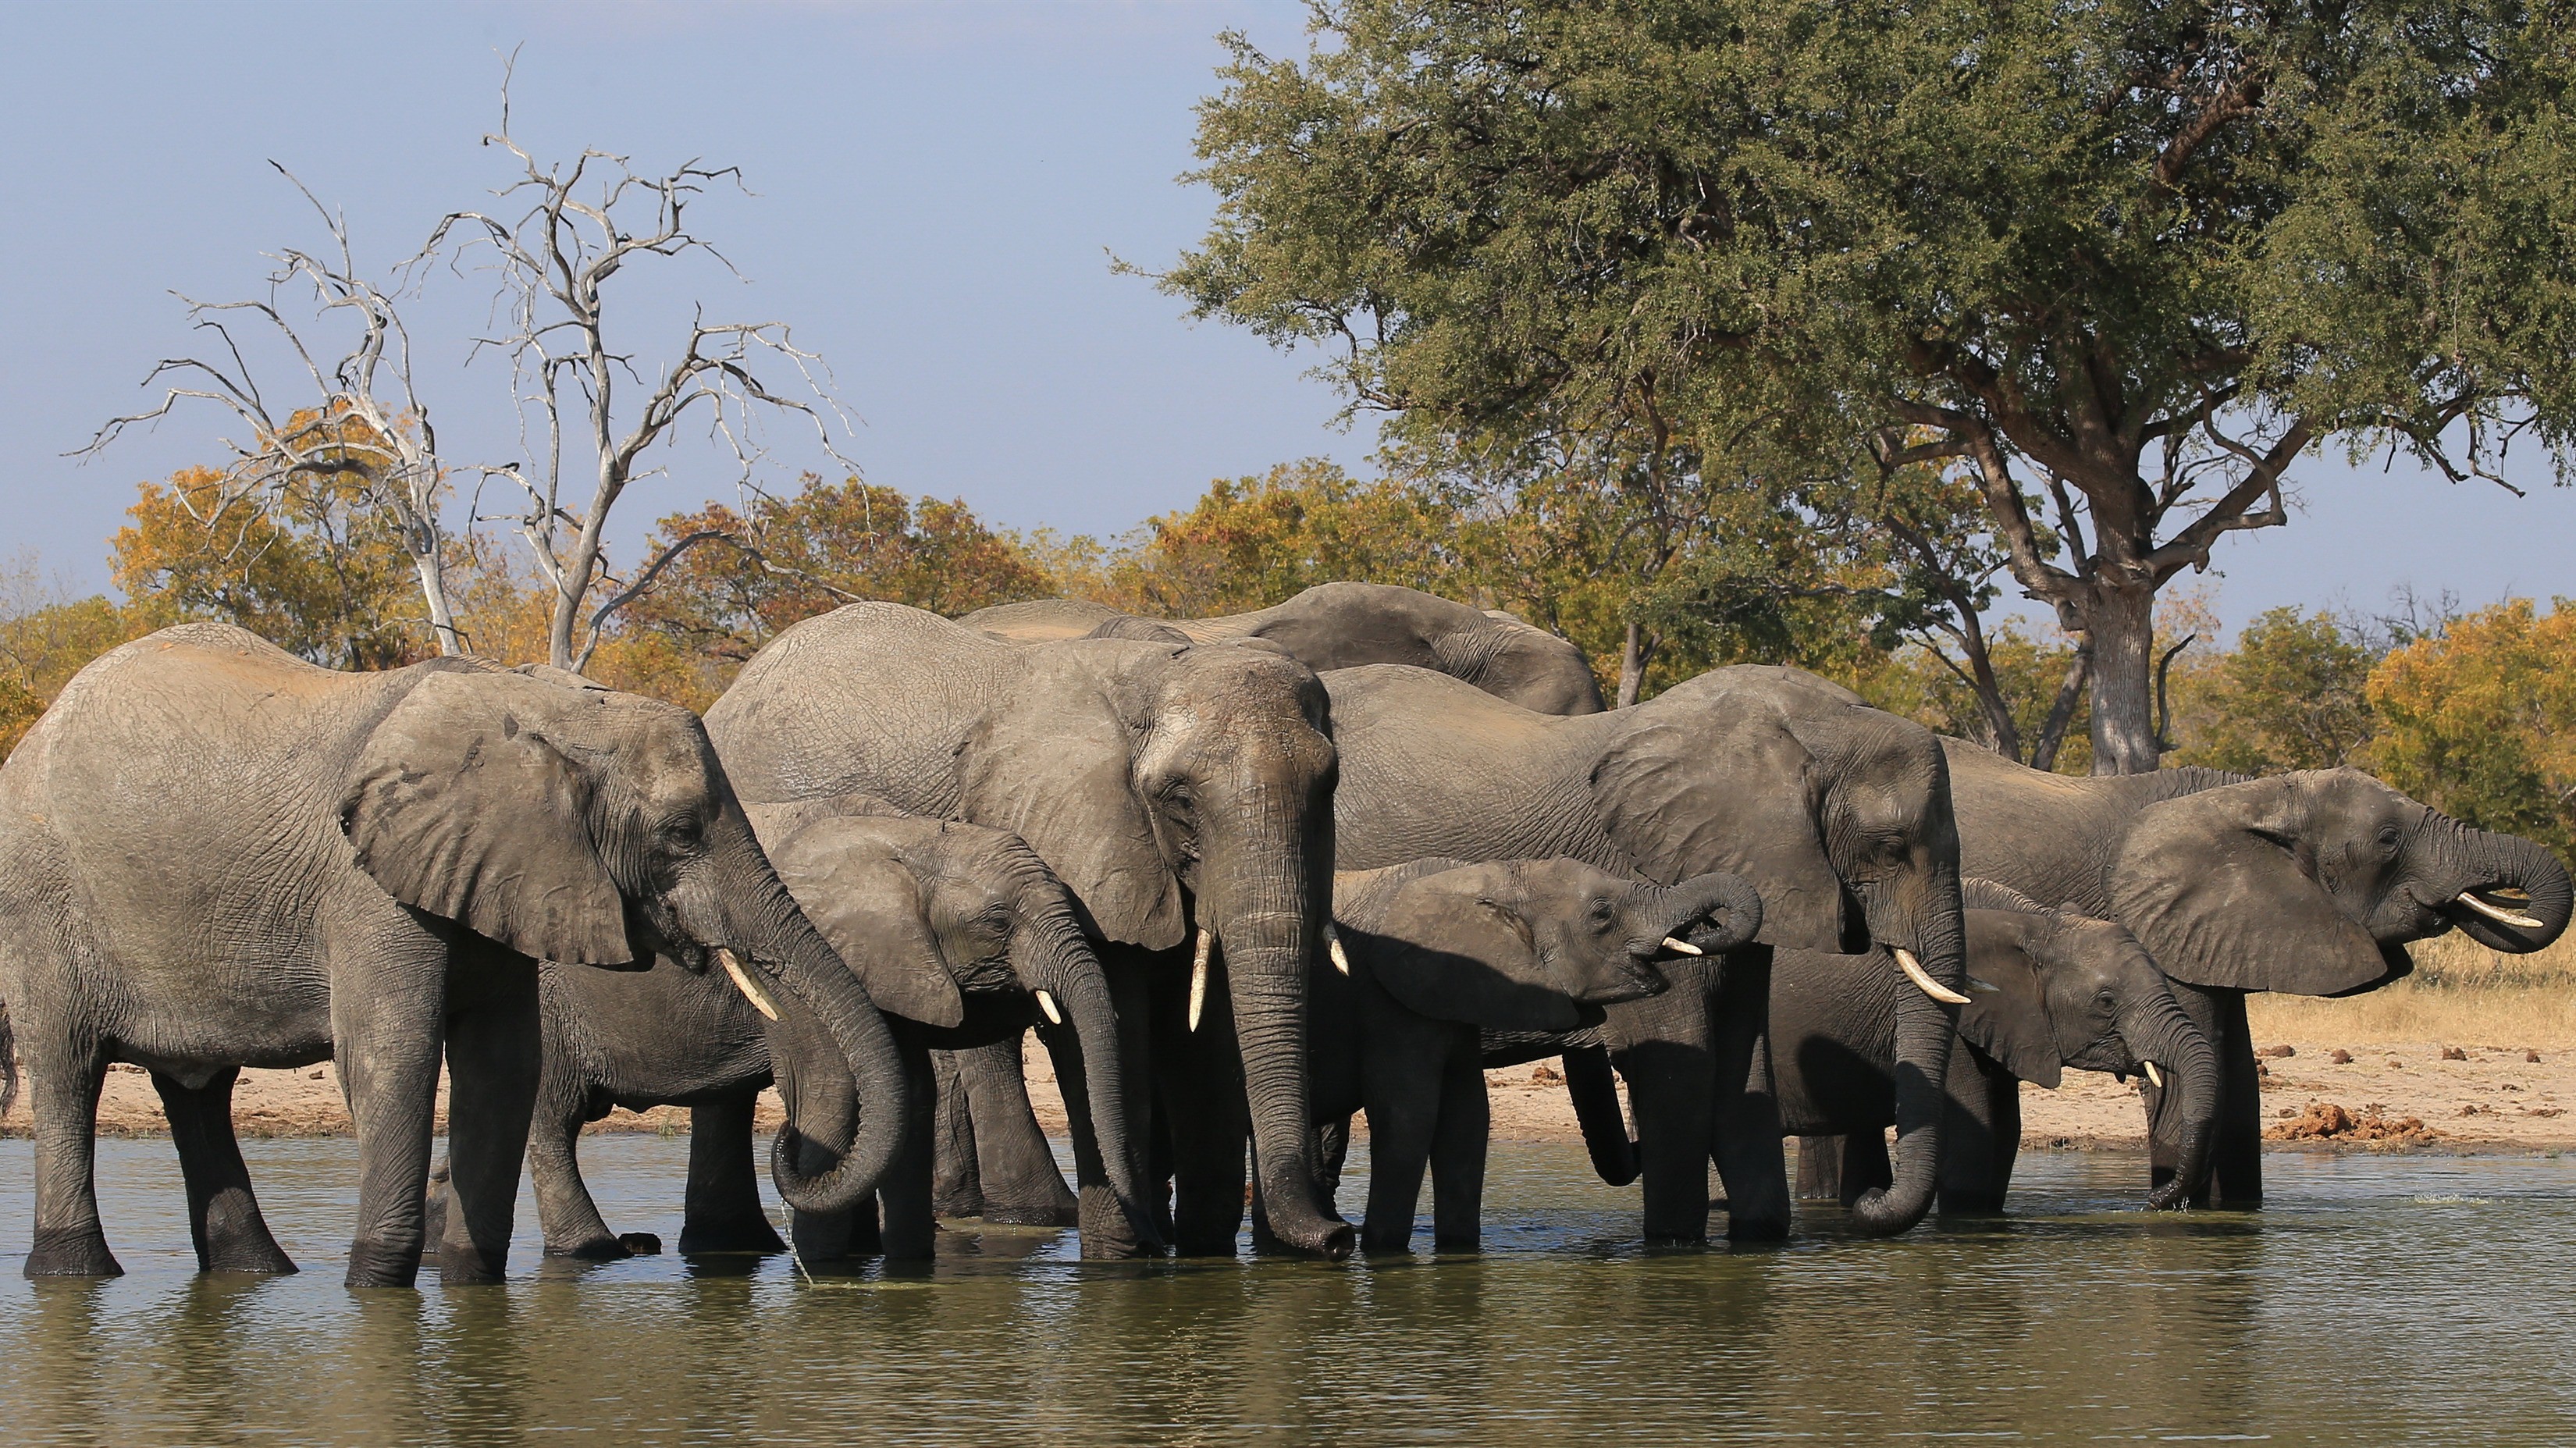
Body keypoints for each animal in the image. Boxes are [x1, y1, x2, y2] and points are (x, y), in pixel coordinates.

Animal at [0, 624, 905, 1286]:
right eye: (681, 833)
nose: (790, 1147)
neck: (538, 706)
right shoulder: (369, 890)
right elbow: (391, 1054)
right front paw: (376, 1287)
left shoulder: (503, 875)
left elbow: (504, 1066)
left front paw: (472, 1286)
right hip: (42, 910)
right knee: (68, 1070)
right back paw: (76, 1272)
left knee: (199, 1093)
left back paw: (260, 1272)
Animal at [493, 796, 1148, 1264]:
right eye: (996, 921)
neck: (906, 835)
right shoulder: (807, 964)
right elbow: (827, 1092)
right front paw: (828, 1272)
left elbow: (909, 1096)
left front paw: (903, 1265)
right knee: (551, 1119)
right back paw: (597, 1251)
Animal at [703, 601, 1351, 1257]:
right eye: (1181, 799)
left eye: (1329, 786)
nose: (1338, 1236)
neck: (1151, 673)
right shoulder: (1077, 842)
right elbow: (1112, 1031)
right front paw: (1124, 1256)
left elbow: (1204, 1036)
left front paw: (1205, 1256)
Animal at [1315, 858, 1761, 1252]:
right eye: (1601, 914)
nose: (1704, 932)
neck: (1481, 877)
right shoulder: (1387, 998)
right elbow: (1410, 1116)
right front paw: (1382, 1253)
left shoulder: (1456, 992)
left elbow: (1468, 1119)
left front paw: (1459, 1252)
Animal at [1579, 880, 2219, 1216]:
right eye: (2107, 1001)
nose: (2154, 1199)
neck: (2032, 922)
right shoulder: (1959, 1021)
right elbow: (1977, 1130)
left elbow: (2004, 1128)